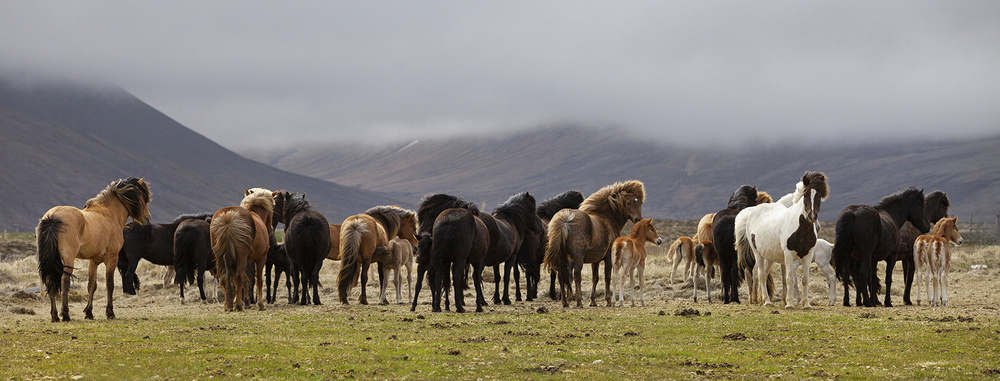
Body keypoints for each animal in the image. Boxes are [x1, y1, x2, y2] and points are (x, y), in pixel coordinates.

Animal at [37, 176, 151, 320]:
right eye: (142, 198)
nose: (148, 218)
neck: (109, 213)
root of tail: (52, 217)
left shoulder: (94, 261)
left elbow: (92, 285)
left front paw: (89, 313)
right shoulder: (112, 258)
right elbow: (110, 284)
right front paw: (110, 312)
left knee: (50, 280)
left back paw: (55, 316)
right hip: (69, 258)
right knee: (64, 281)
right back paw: (65, 314)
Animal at [544, 180, 644, 308]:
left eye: (640, 202)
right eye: (628, 202)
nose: (638, 219)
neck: (606, 217)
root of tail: (565, 220)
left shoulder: (595, 260)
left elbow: (595, 278)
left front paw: (593, 301)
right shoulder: (608, 257)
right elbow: (607, 277)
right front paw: (608, 300)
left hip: (561, 257)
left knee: (561, 276)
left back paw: (565, 302)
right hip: (577, 258)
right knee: (577, 275)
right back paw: (579, 301)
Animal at [736, 171, 828, 308]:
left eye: (820, 196)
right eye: (805, 195)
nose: (812, 217)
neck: (801, 230)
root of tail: (752, 211)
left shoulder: (807, 255)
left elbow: (804, 280)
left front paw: (806, 305)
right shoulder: (788, 255)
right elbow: (789, 278)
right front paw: (789, 303)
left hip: (769, 255)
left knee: (763, 274)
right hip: (758, 254)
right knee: (761, 275)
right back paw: (766, 301)